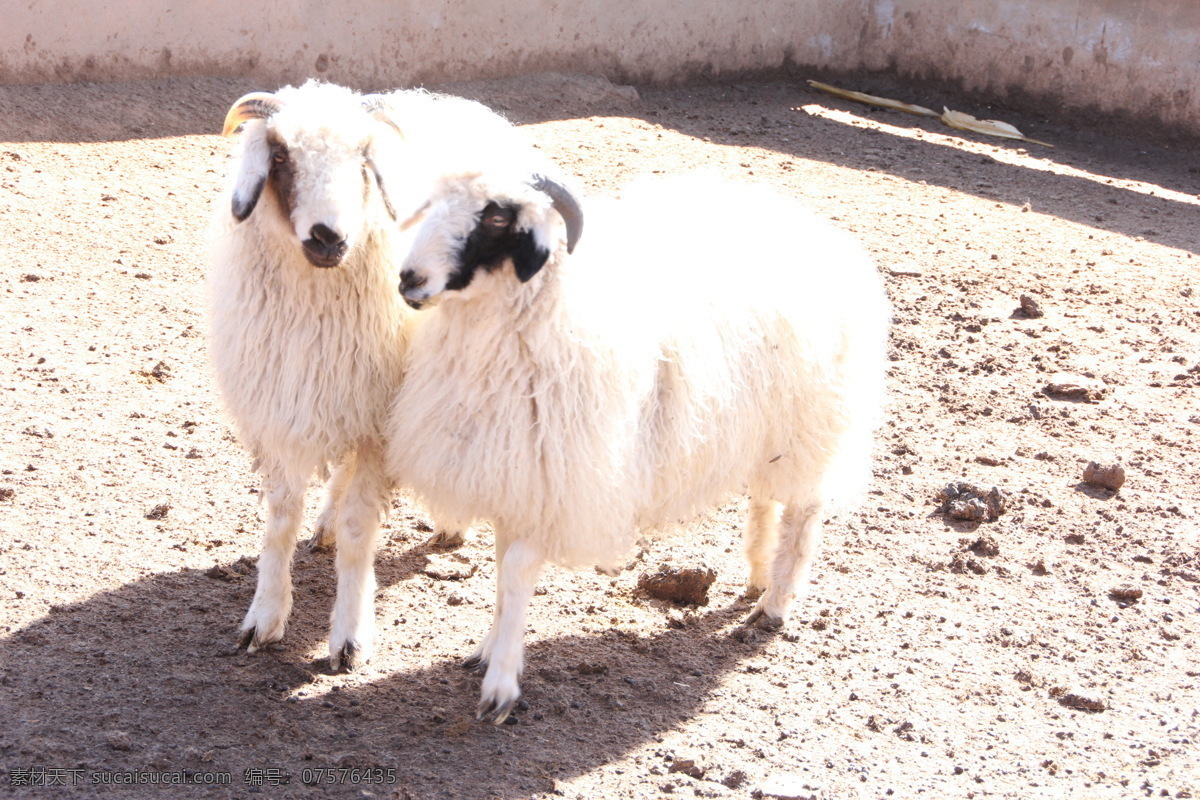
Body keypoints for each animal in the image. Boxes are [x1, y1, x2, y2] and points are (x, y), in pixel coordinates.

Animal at [212, 79, 540, 671]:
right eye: (280, 155)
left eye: (364, 159)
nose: (328, 237)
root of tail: (458, 105)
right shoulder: (282, 408)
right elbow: (280, 521)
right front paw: (264, 616)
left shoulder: (380, 424)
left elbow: (359, 529)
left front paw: (349, 635)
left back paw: (450, 522)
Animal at [384, 167, 892, 719]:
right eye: (433, 203)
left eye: (497, 216)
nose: (408, 279)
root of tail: (816, 229)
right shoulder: (518, 478)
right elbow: (501, 571)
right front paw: (489, 648)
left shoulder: (568, 483)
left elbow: (516, 572)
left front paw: (501, 684)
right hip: (764, 428)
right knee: (764, 499)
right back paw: (758, 572)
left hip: (811, 426)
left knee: (801, 514)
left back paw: (773, 604)